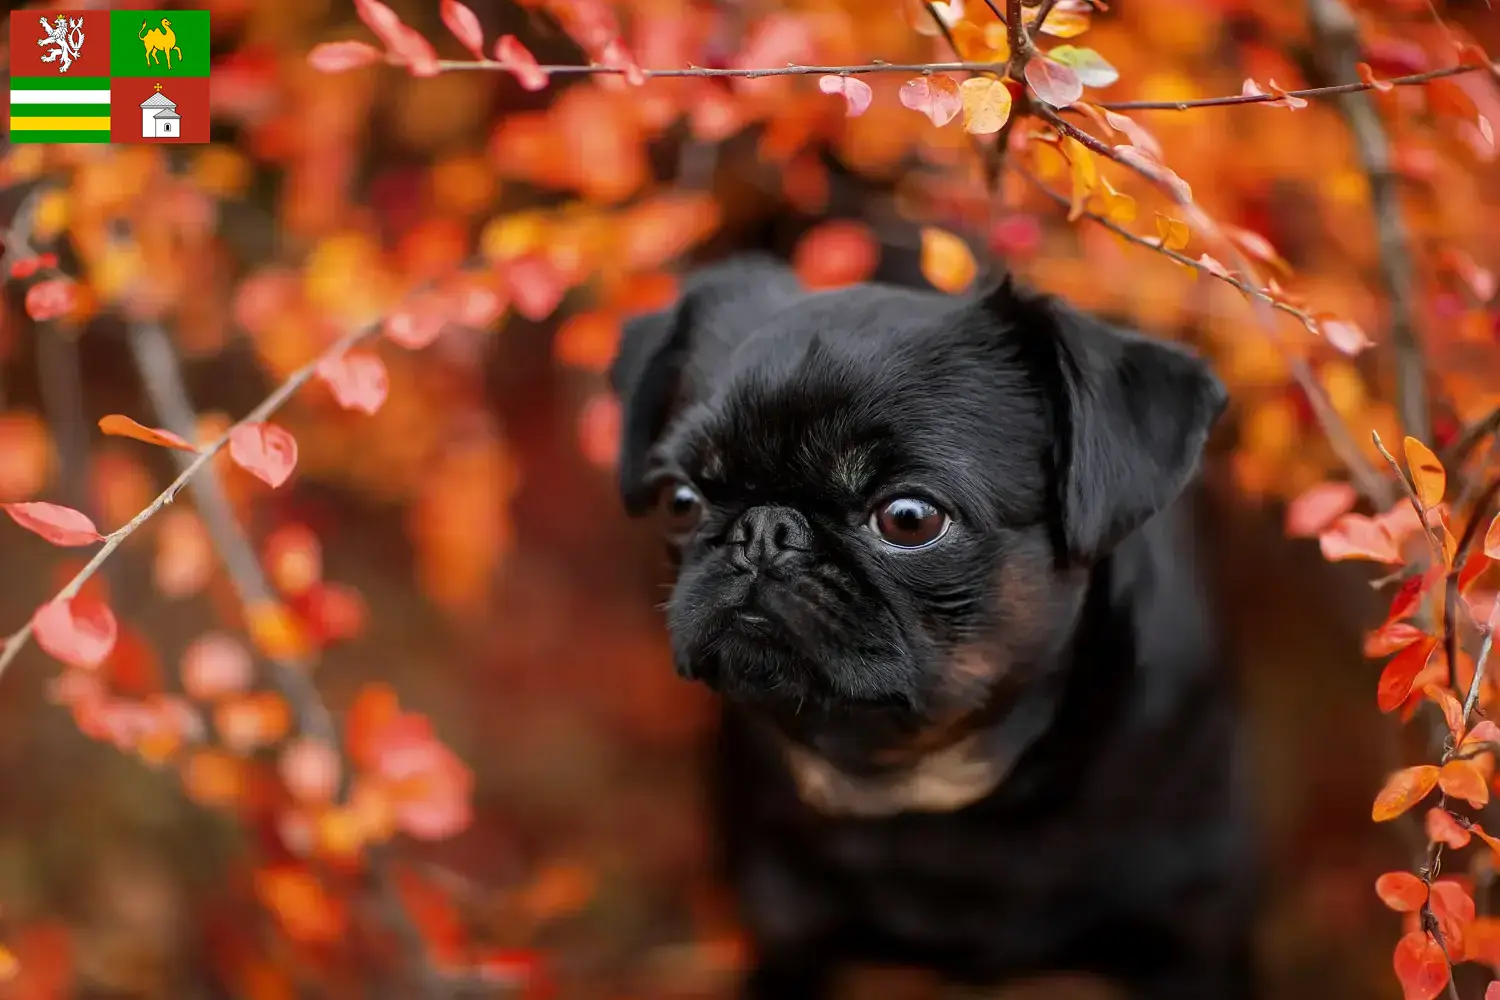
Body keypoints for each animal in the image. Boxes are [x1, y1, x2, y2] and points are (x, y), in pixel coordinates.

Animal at [609, 260, 1254, 1000]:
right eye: (680, 501)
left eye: (909, 518)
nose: (764, 530)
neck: (920, 781)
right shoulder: (787, 929)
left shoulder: (1193, 939)